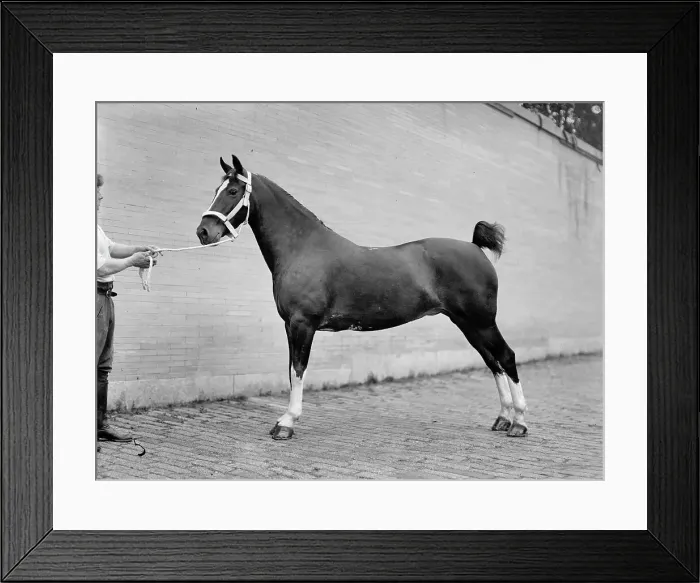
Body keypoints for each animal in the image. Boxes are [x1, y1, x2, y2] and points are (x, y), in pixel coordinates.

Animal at [196, 155, 528, 441]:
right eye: (216, 190)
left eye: (234, 191)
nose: (203, 231)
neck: (302, 248)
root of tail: (475, 248)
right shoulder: (291, 326)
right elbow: (292, 371)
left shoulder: (302, 324)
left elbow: (299, 370)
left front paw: (287, 423)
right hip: (468, 324)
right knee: (493, 362)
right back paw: (503, 419)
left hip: (482, 322)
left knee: (506, 357)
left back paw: (519, 423)